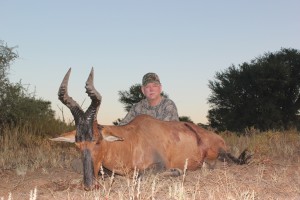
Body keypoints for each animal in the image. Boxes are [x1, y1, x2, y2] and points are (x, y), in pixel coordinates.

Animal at [51, 68, 251, 190]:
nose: (90, 185)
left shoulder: (158, 165)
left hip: (218, 151)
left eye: (97, 141)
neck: (131, 139)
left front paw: (176, 172)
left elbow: (142, 176)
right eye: (77, 144)